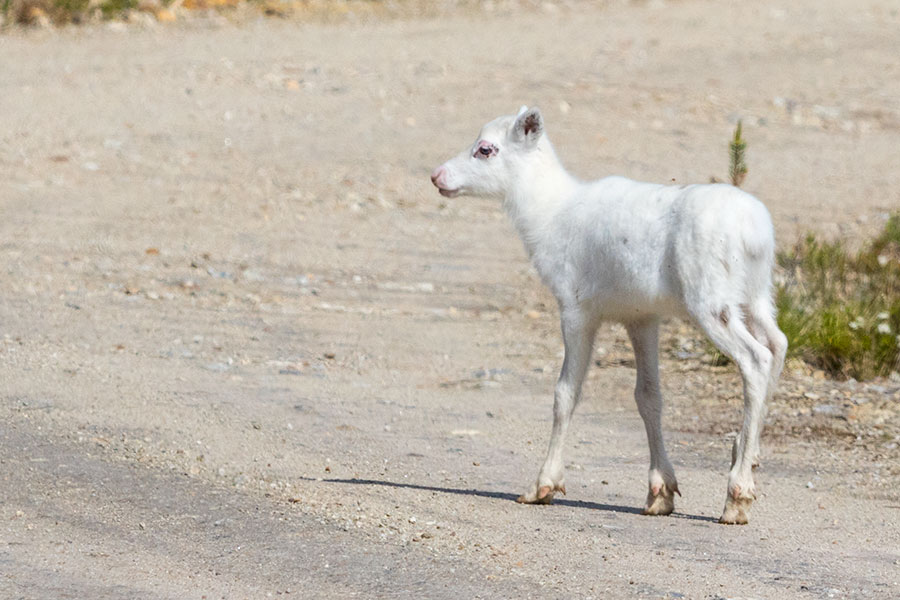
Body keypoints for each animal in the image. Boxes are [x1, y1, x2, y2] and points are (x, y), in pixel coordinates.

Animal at [428, 108, 788, 524]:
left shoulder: (575, 309)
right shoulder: (641, 317)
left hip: (711, 302)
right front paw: (660, 492)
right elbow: (648, 396)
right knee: (778, 344)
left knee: (756, 359)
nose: (437, 175)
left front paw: (542, 486)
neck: (547, 214)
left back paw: (737, 495)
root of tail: (756, 234)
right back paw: (747, 456)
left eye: (485, 148)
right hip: (756, 297)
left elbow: (565, 393)